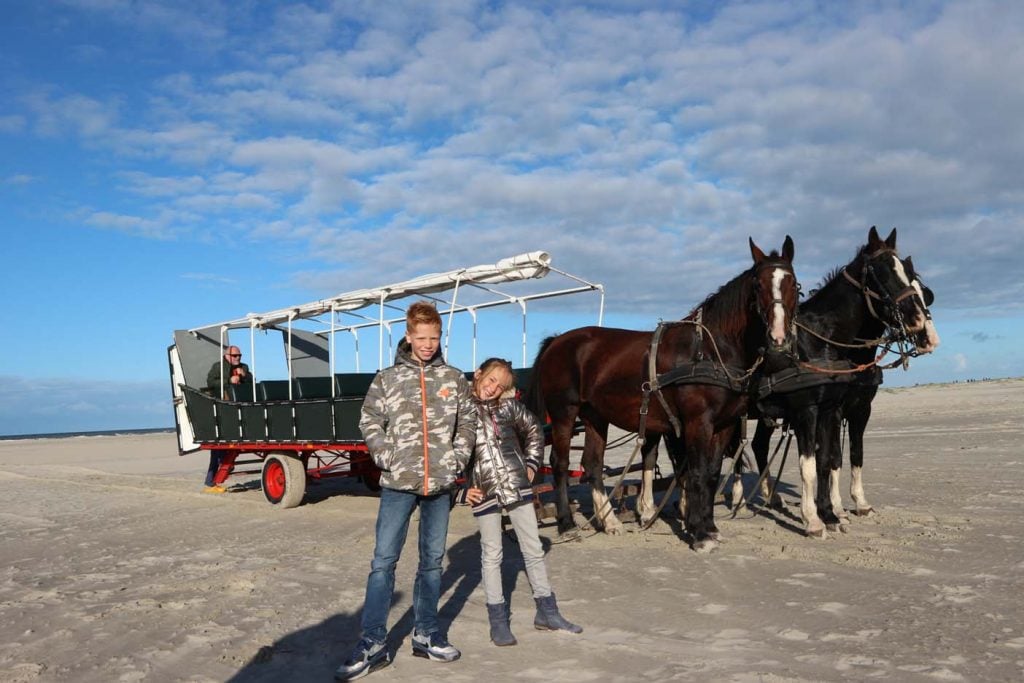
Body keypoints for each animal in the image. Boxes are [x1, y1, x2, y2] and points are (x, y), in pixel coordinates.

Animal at [528, 237, 798, 552]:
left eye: (794, 284)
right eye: (757, 285)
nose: (778, 339)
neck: (710, 349)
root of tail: (557, 340)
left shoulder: (725, 425)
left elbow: (712, 474)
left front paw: (709, 527)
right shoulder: (697, 423)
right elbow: (697, 473)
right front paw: (699, 533)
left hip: (595, 415)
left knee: (592, 465)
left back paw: (609, 521)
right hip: (564, 412)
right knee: (559, 465)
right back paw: (567, 524)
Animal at [741, 227, 937, 536]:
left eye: (914, 280)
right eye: (883, 272)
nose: (921, 327)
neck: (823, 339)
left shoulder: (847, 409)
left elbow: (838, 457)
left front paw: (838, 511)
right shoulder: (808, 411)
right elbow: (814, 463)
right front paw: (816, 517)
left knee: (759, 445)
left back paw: (772, 498)